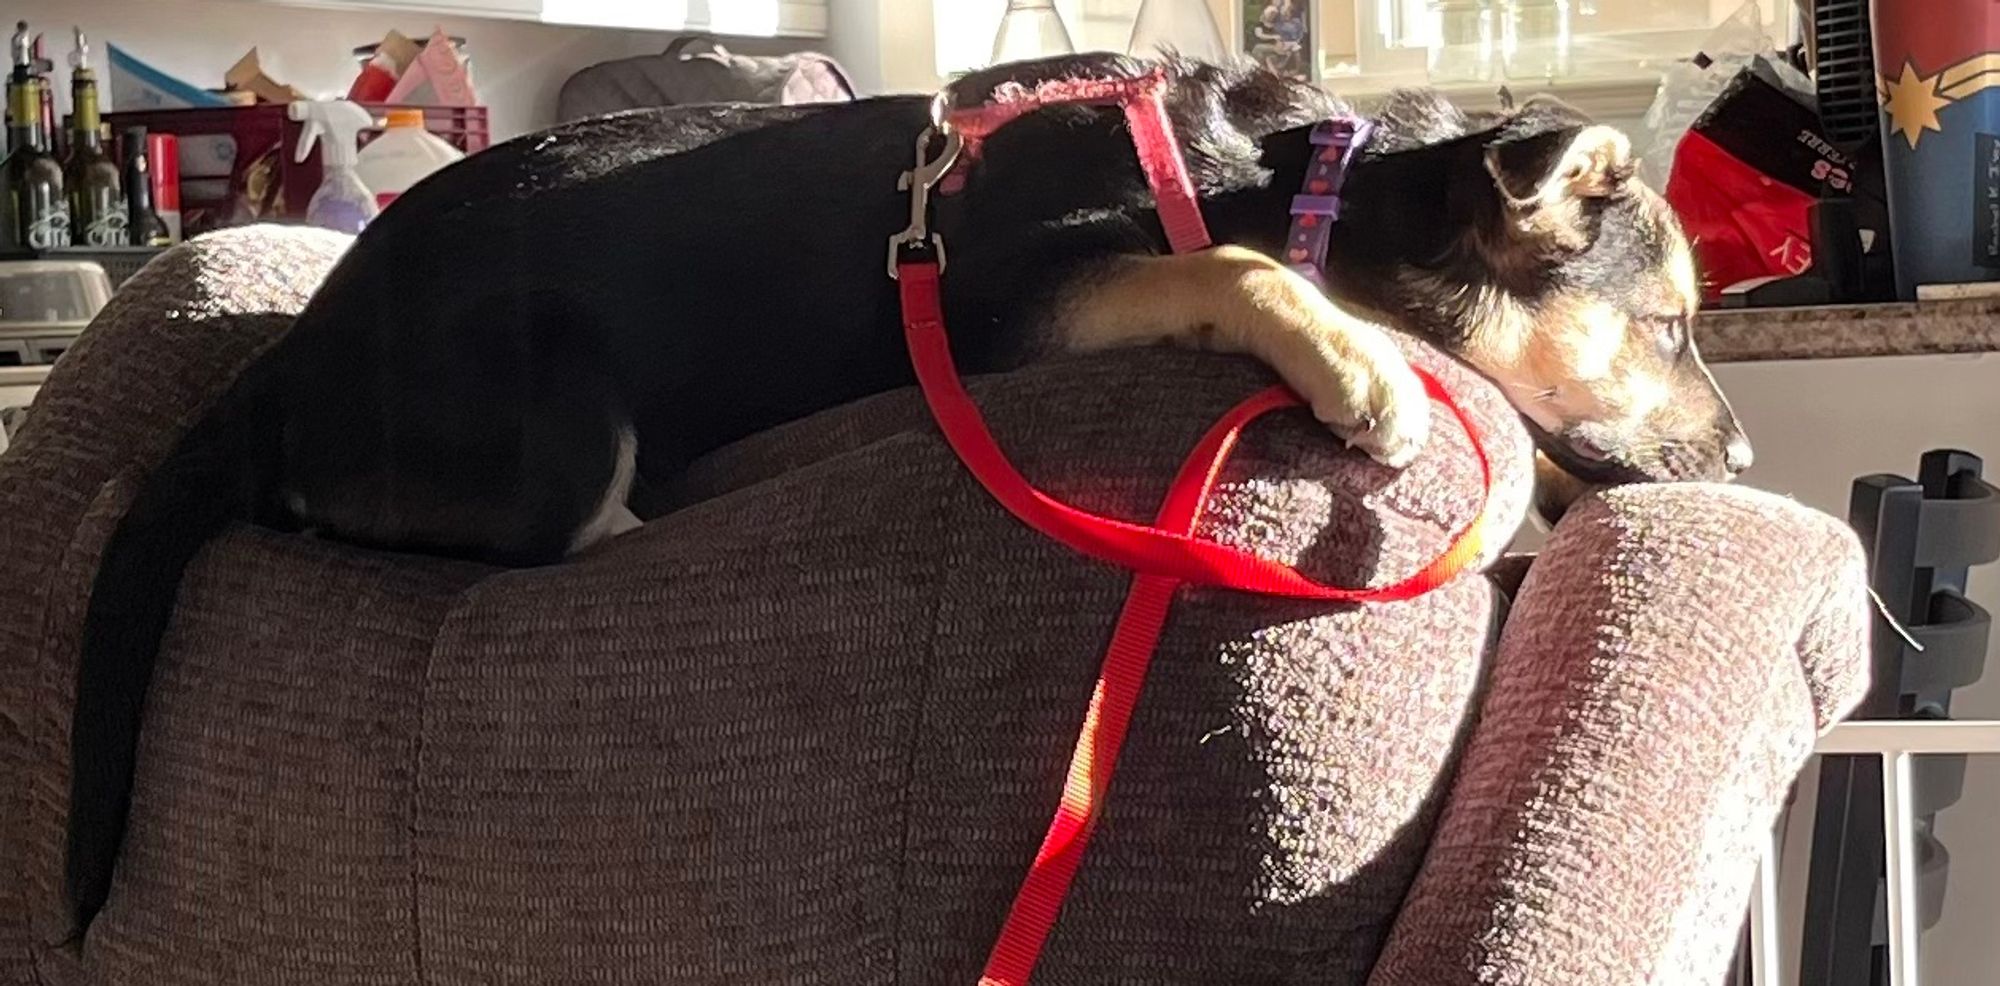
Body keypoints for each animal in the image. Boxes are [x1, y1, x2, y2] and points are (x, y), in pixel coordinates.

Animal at [66, 52, 1752, 916]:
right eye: (1670, 324)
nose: (1743, 455)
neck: (1321, 180)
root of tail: (290, 358)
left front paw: (1551, 502)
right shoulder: (1023, 294)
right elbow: (1234, 266)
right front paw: (1359, 367)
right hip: (553, 410)